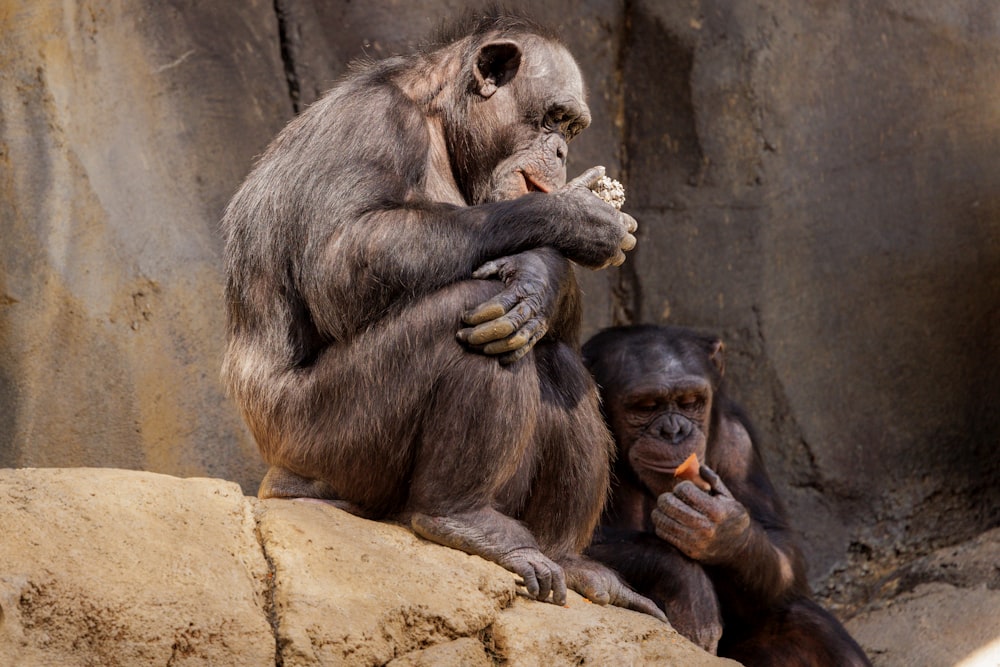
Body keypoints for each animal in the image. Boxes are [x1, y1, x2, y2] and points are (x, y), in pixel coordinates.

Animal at [220, 10, 660, 620]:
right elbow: (346, 257)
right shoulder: (375, 122)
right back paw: (461, 517)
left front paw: (541, 274)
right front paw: (572, 219)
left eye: (572, 129)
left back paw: (569, 560)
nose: (562, 154)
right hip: (327, 442)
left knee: (552, 354)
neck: (442, 124)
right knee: (468, 316)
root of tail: (274, 474)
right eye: (553, 118)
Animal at [584, 324, 872, 664]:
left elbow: (784, 550)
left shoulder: (739, 443)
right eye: (645, 407)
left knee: (805, 622)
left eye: (690, 401)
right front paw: (688, 586)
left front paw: (722, 532)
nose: (673, 431)